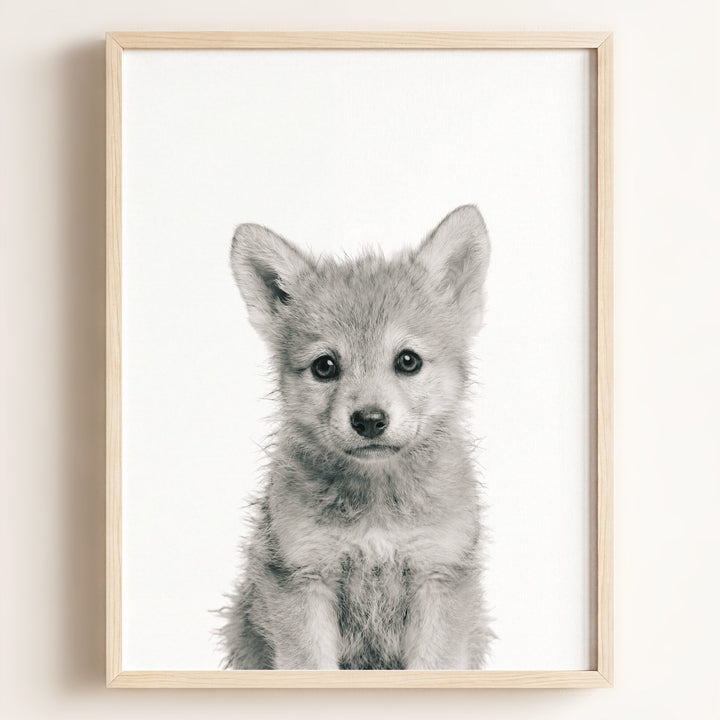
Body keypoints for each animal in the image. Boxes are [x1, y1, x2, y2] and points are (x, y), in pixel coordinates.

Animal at [220, 205, 493, 670]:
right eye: (325, 366)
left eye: (408, 361)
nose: (368, 420)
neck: (377, 508)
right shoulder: (303, 578)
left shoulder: (438, 575)